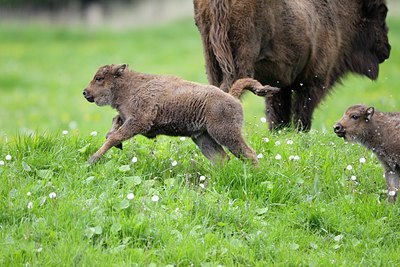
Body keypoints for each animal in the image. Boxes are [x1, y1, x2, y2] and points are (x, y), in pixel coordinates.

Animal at [83, 64, 280, 165]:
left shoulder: (139, 121)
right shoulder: (127, 118)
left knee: (248, 153)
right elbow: (115, 124)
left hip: (225, 133)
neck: (130, 86)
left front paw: (92, 159)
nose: (85, 92)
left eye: (99, 78)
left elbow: (115, 136)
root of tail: (231, 96)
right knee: (221, 157)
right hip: (203, 137)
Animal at [194, 0, 390, 131]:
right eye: (382, 12)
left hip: (212, 61)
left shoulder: (279, 84)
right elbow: (302, 114)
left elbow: (278, 115)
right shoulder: (313, 81)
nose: (387, 50)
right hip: (238, 64)